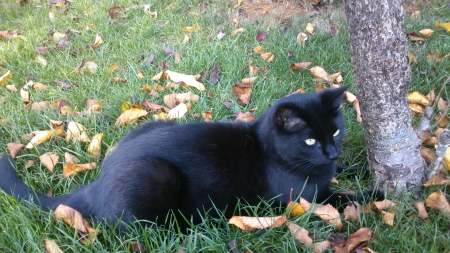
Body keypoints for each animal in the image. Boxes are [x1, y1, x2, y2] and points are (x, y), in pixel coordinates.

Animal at [0, 86, 382, 228]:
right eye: (310, 140)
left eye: (335, 132)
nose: (331, 151)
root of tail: (95, 184)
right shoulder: (300, 200)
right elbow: (343, 199)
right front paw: (381, 192)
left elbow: (342, 174)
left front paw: (357, 166)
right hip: (156, 174)